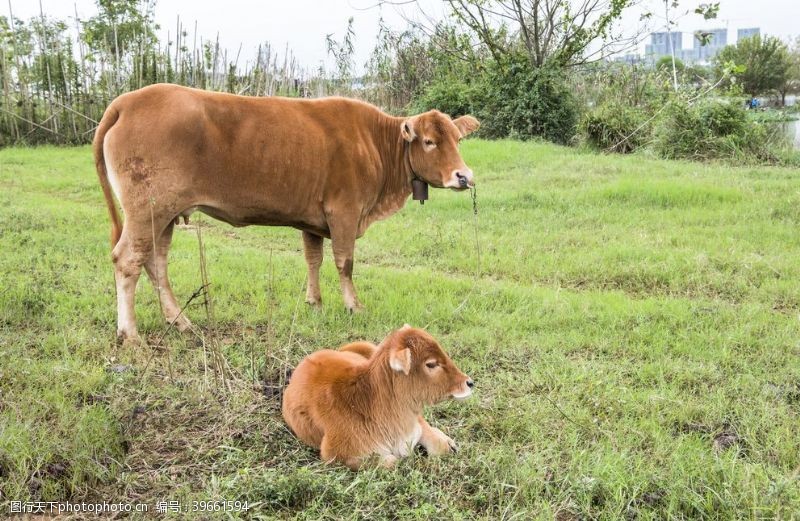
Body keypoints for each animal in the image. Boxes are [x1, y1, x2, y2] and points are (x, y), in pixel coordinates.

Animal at [96, 83, 478, 344]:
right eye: (429, 141)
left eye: (457, 139)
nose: (464, 176)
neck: (374, 143)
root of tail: (128, 100)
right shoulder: (344, 211)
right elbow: (345, 262)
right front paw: (353, 306)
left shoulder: (313, 219)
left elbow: (313, 259)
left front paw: (315, 303)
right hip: (147, 211)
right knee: (128, 260)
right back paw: (130, 334)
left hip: (162, 216)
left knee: (156, 264)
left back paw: (179, 321)